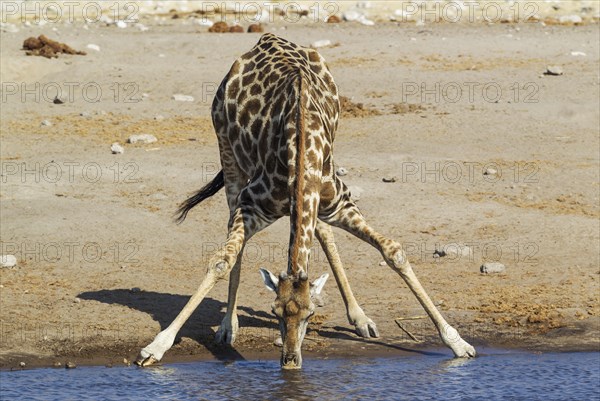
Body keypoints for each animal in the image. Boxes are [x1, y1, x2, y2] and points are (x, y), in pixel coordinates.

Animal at [135, 32, 474, 368]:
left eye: (311, 313)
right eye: (274, 311)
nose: (290, 362)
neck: (301, 155)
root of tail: (266, 38)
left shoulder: (339, 203)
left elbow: (393, 250)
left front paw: (458, 343)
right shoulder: (251, 206)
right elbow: (222, 260)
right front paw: (156, 347)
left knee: (321, 231)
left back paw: (360, 318)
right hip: (228, 155)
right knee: (236, 226)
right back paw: (228, 326)